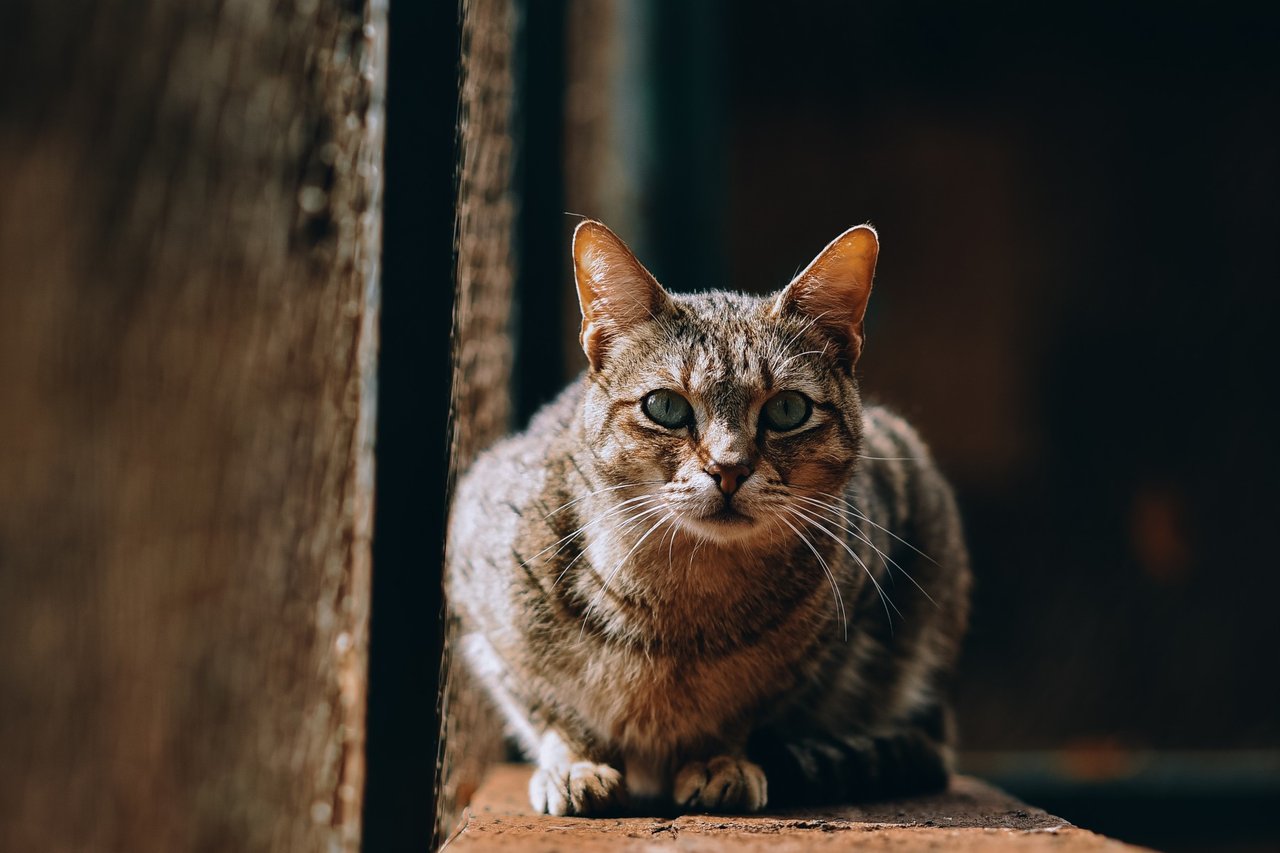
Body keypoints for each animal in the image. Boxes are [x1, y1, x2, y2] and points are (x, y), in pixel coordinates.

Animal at [448, 217, 967, 809]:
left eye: (787, 409)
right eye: (666, 406)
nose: (729, 468)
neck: (682, 601)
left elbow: (744, 714)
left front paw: (720, 761)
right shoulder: (484, 613)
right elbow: (549, 710)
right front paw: (575, 765)